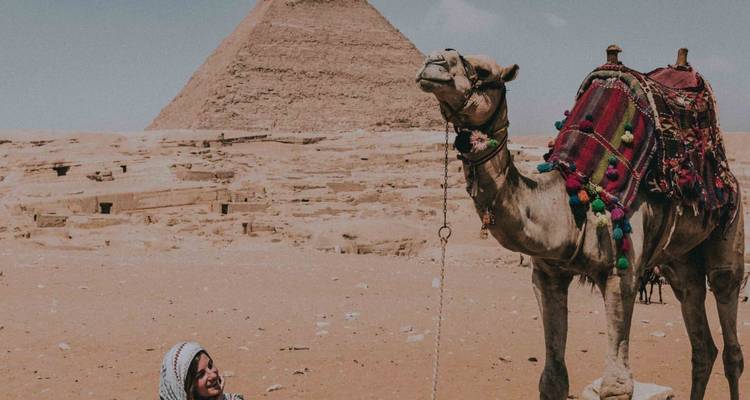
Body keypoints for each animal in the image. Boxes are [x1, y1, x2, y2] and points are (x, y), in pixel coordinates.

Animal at [415, 49, 745, 400]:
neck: (570, 202)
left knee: (729, 328)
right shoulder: (547, 275)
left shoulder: (622, 273)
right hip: (679, 261)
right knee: (700, 336)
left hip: (732, 223)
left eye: (481, 70)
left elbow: (616, 384)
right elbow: (553, 378)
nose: (433, 61)